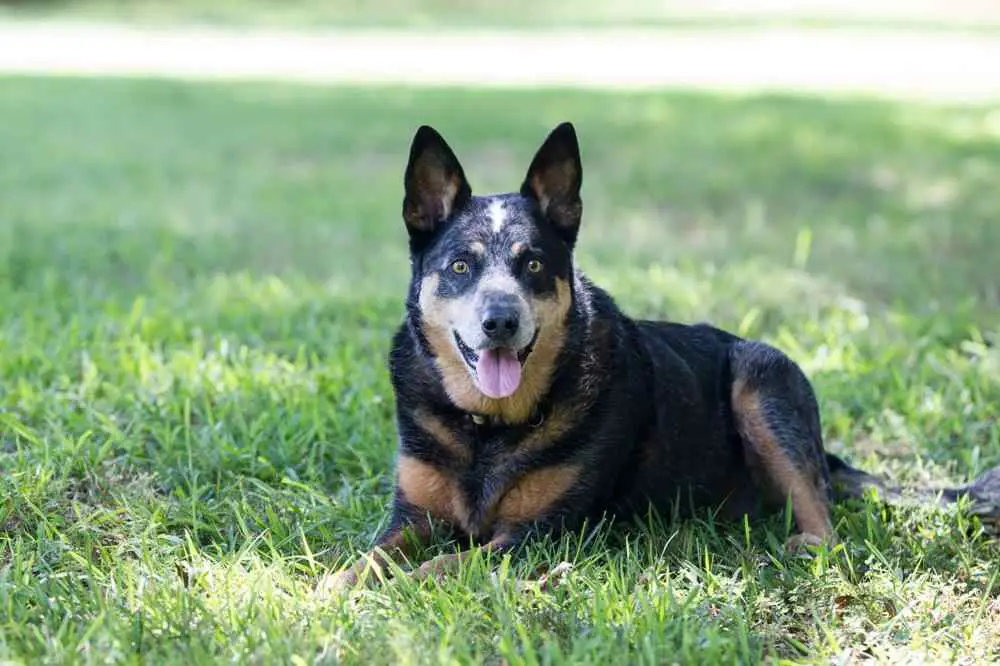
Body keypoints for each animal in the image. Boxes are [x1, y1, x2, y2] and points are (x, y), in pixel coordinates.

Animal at [332, 122, 1000, 584]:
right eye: (460, 266)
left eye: (535, 266)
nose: (500, 320)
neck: (487, 428)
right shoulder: (412, 517)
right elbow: (372, 557)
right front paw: (333, 588)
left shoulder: (539, 532)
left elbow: (444, 566)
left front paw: (404, 588)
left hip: (762, 377)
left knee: (824, 514)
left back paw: (798, 547)